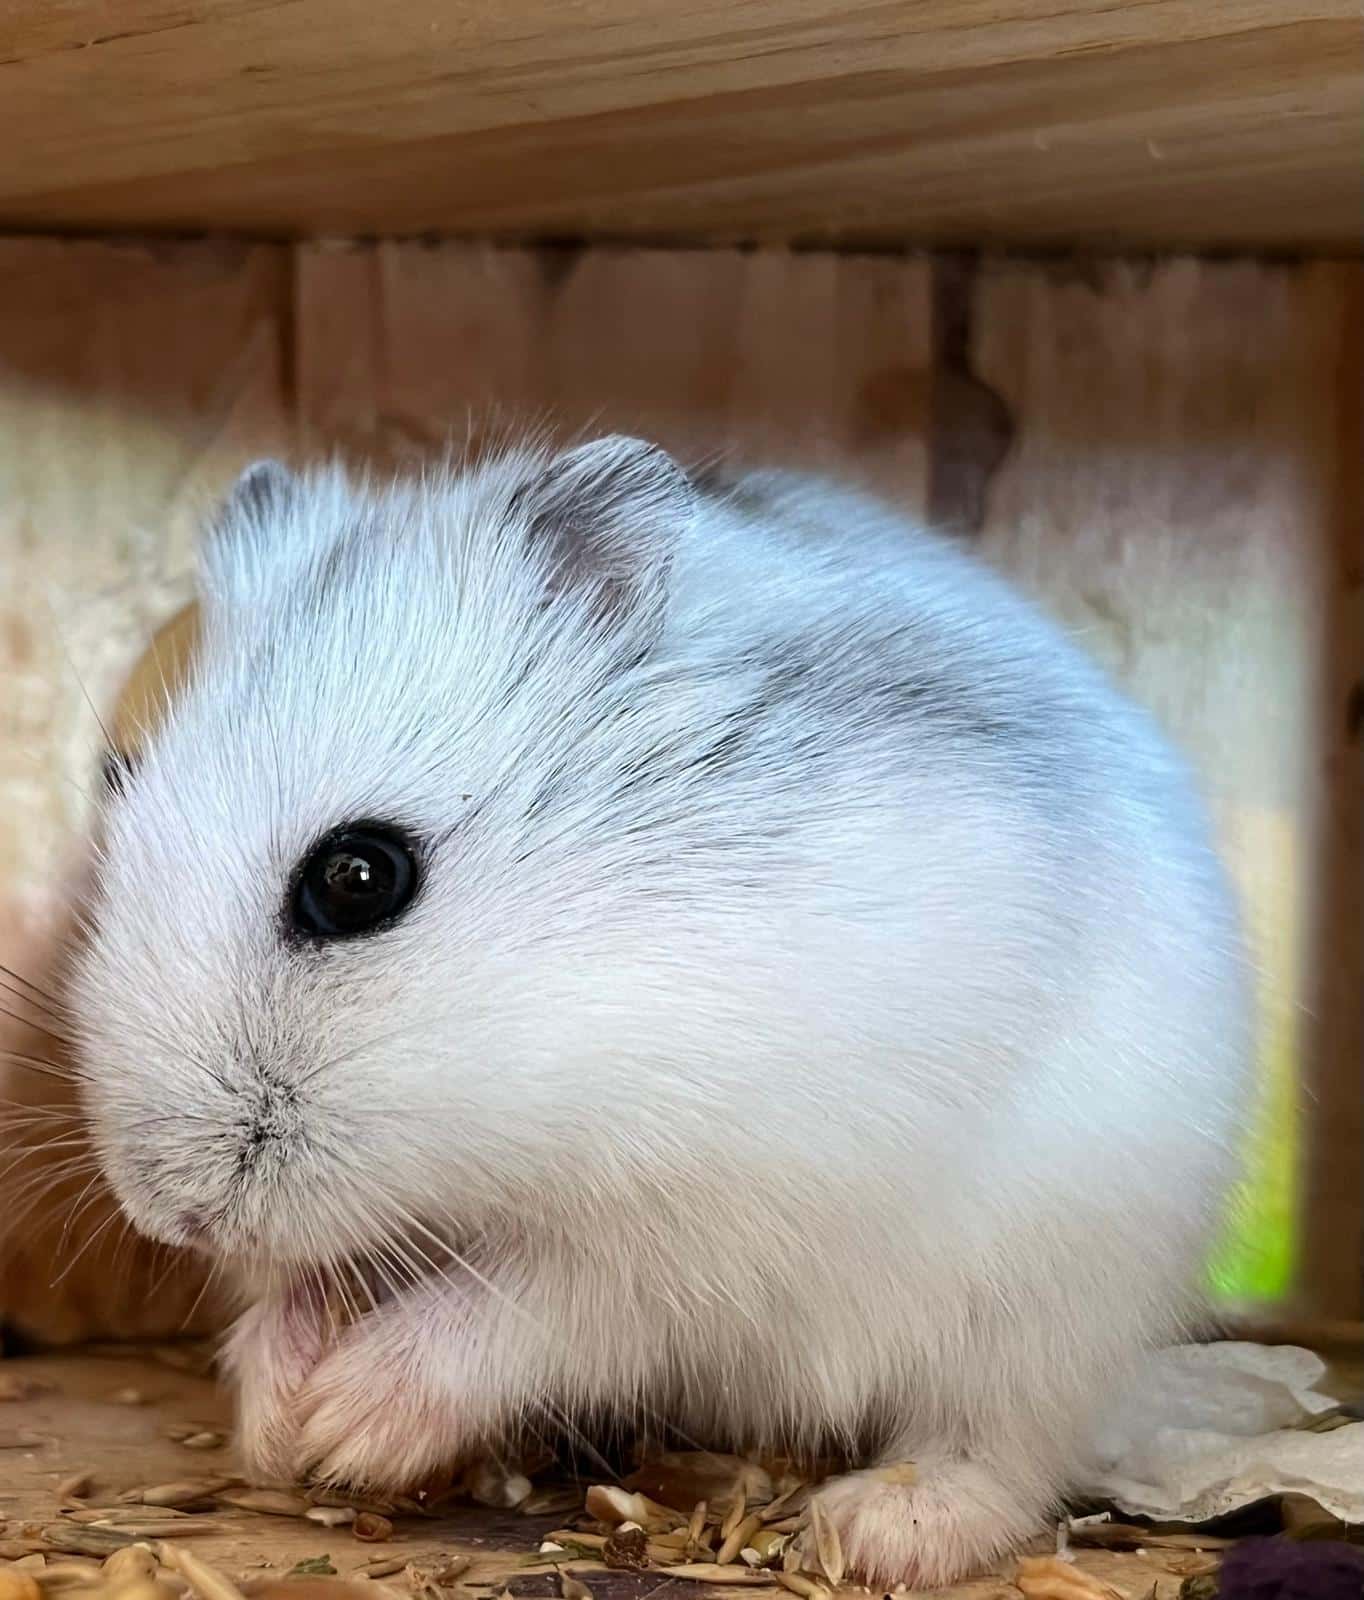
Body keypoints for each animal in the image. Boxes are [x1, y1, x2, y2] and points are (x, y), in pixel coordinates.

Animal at [69, 436, 1249, 1588]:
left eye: (359, 878)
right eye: (118, 801)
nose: (170, 1214)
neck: (588, 994)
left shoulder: (690, 1233)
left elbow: (522, 1308)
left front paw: (344, 1427)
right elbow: (298, 1290)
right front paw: (276, 1421)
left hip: (1046, 1308)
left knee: (1003, 1447)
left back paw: (873, 1531)